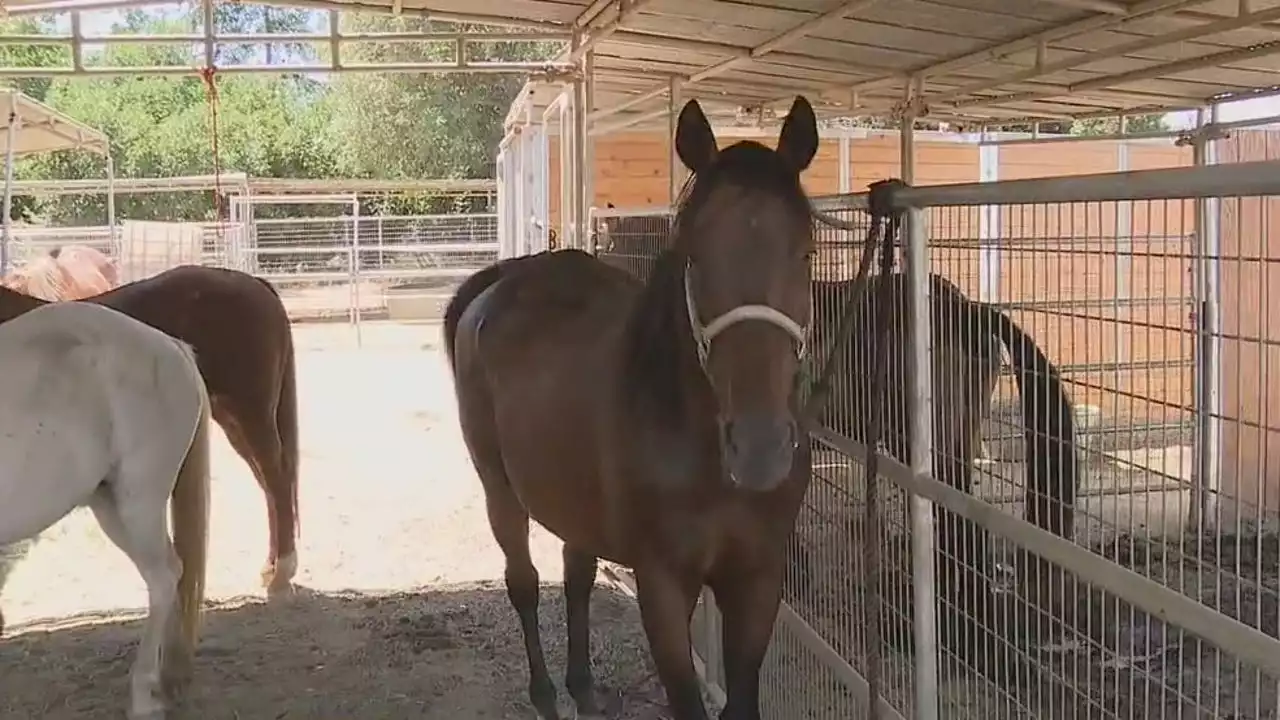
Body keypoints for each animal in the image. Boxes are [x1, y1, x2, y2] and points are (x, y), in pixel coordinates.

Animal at [0, 266, 299, 591]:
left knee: (277, 481)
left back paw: (281, 570)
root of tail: (254, 283)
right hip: (233, 421)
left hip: (252, 416)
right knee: (268, 484)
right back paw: (272, 566)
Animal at [445, 96, 814, 717]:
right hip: (498, 488)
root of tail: (499, 283)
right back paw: (546, 695)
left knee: (577, 574)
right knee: (524, 582)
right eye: (694, 253)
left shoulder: (758, 579)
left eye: (806, 251)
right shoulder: (662, 586)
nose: (760, 449)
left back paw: (584, 690)